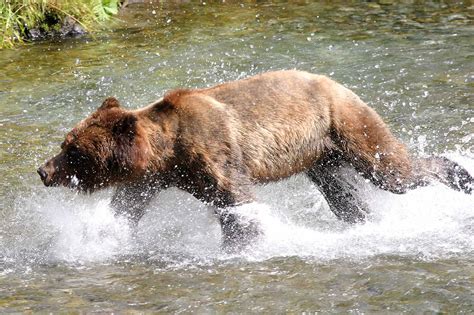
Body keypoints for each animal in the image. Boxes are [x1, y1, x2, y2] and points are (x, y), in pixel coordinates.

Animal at [39, 70, 472, 251]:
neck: (167, 151)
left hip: (344, 122)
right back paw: (365, 222)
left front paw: (242, 243)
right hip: (321, 156)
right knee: (344, 194)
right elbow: (125, 208)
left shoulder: (214, 152)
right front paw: (95, 236)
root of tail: (333, 81)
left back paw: (460, 173)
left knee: (393, 171)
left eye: (73, 150)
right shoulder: (154, 178)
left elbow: (238, 202)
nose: (43, 170)